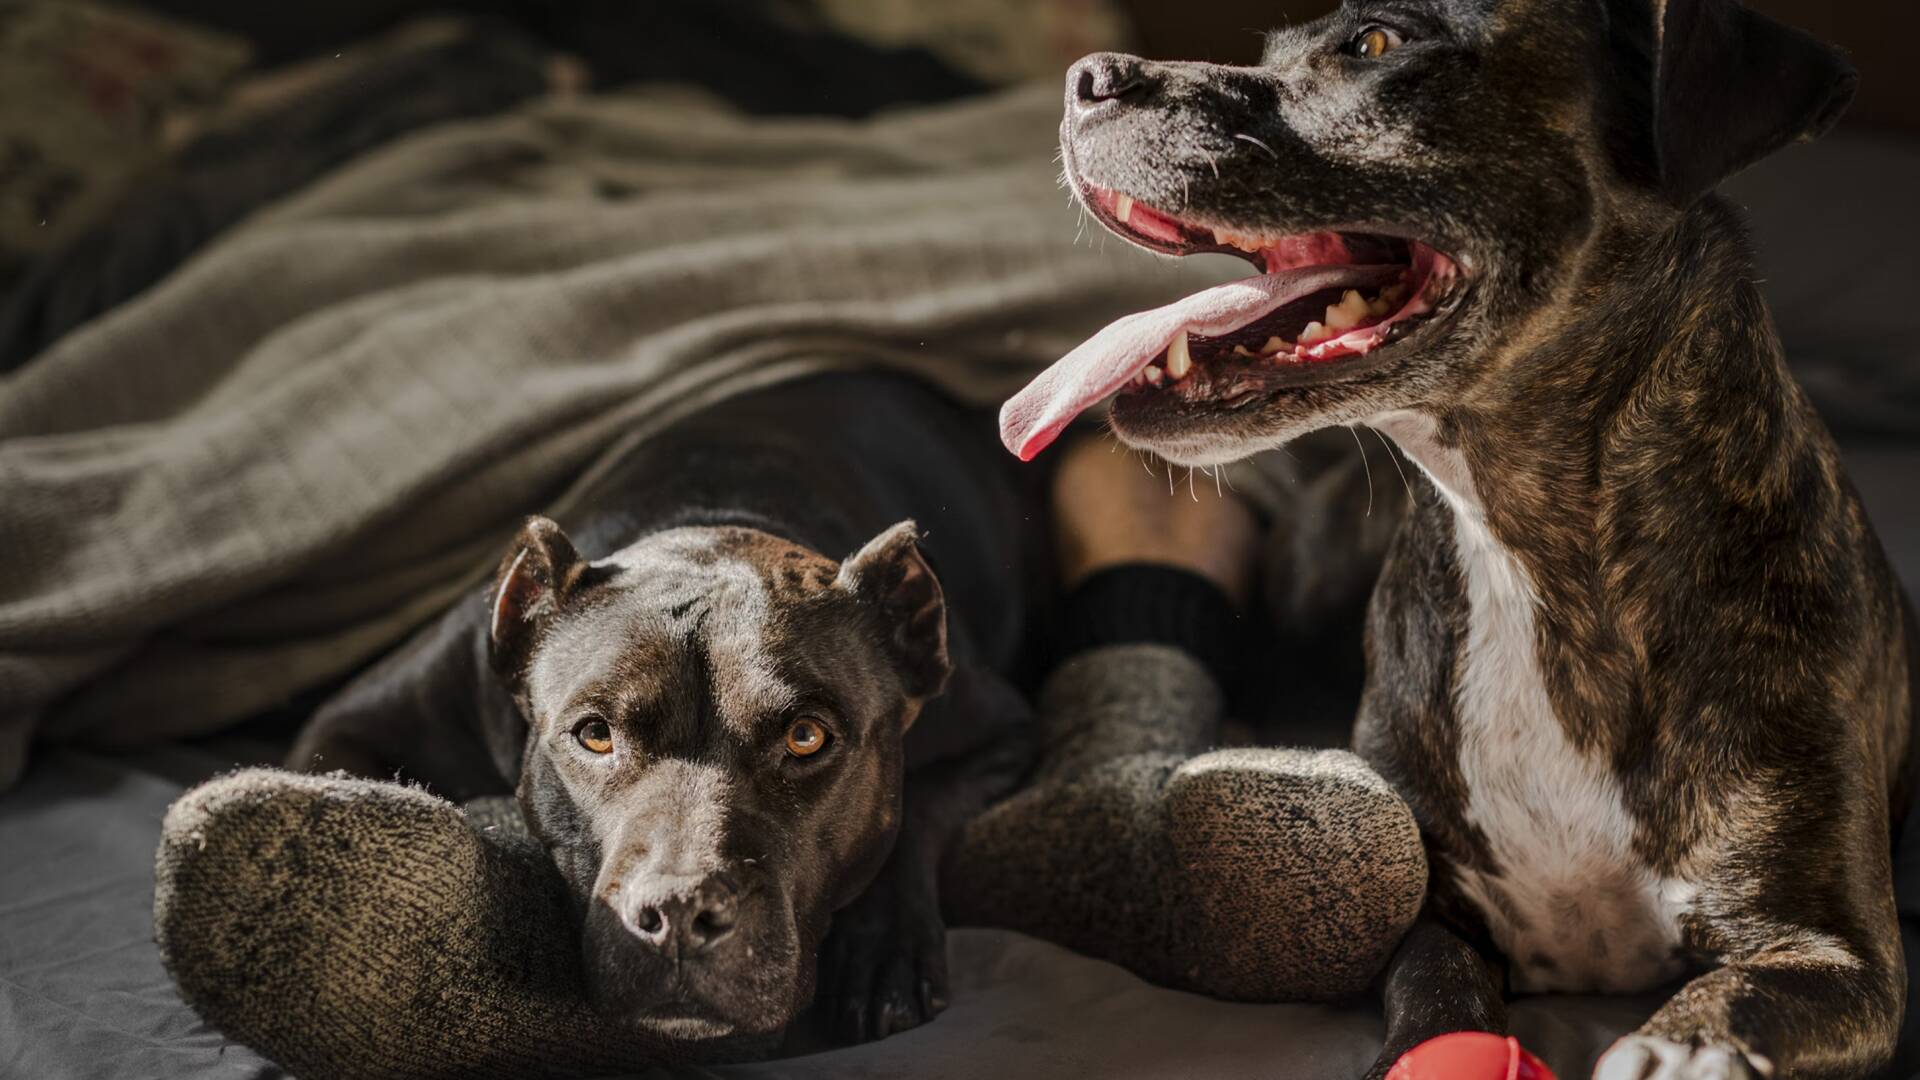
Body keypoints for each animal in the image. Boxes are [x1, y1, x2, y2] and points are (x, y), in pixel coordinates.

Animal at [1006, 2, 1920, 1076]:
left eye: (1375, 44)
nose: (1087, 76)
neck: (1528, 558)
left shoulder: (1841, 959)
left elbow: (1740, 997)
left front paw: (1677, 1048)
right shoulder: (1432, 915)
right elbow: (1439, 1000)